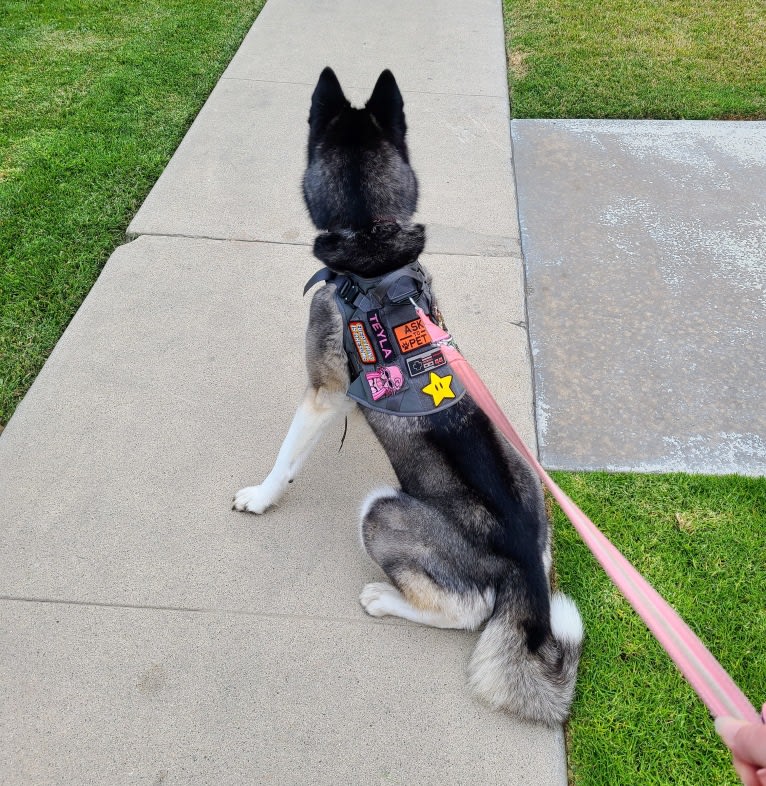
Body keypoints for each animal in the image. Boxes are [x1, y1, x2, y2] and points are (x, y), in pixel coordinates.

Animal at [232, 67, 584, 724]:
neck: (372, 242)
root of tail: (526, 565)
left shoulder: (322, 394)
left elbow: (286, 456)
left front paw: (262, 496)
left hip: (380, 510)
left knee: (464, 614)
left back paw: (383, 599)